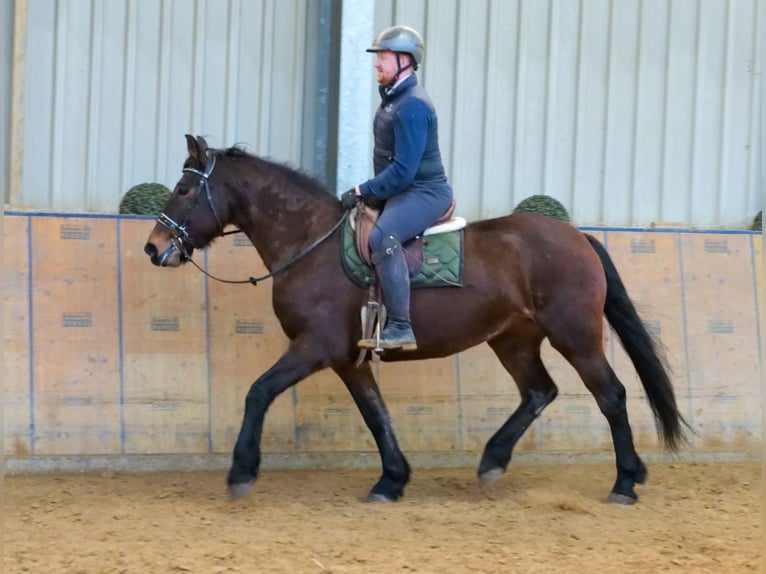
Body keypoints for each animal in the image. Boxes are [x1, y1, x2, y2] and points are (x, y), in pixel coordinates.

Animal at [146, 137, 688, 506]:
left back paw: (624, 481)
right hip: (513, 339)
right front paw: (392, 479)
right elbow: (376, 414)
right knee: (539, 391)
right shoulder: (348, 358)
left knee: (610, 395)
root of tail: (578, 237)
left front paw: (241, 472)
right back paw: (494, 461)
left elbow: (258, 392)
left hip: (574, 336)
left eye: (185, 188)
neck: (309, 242)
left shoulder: (315, 346)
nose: (154, 247)